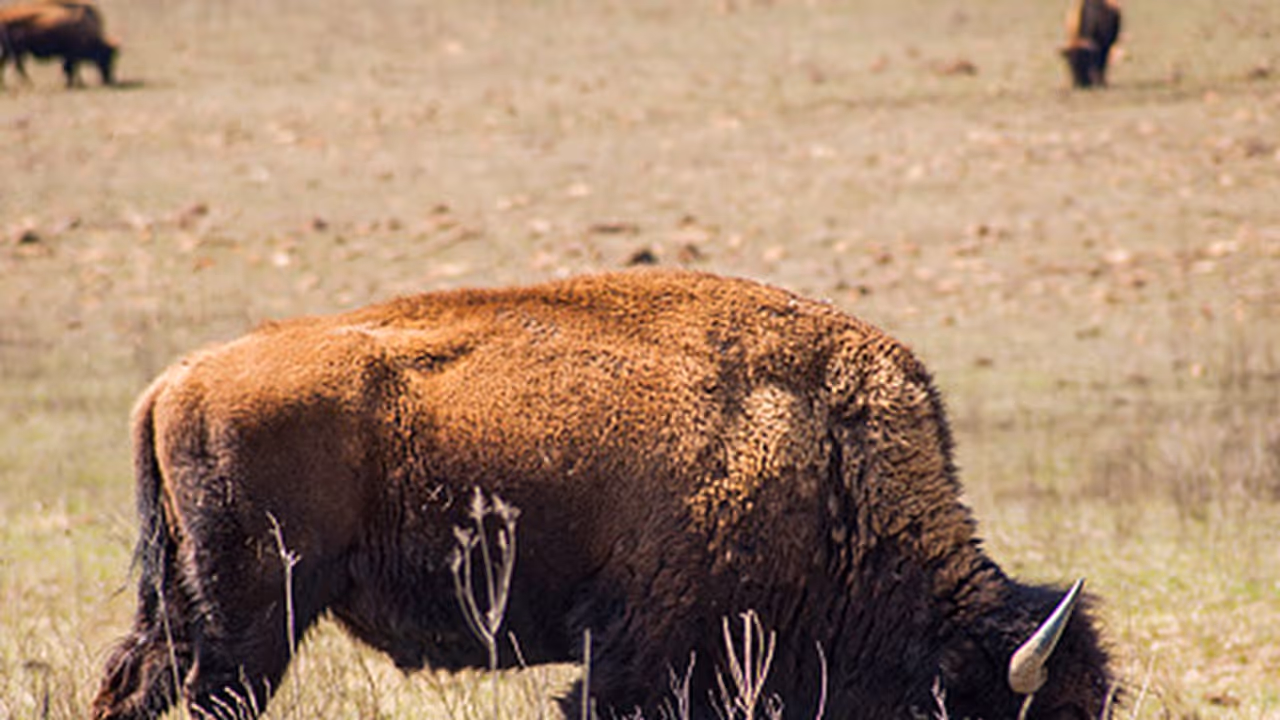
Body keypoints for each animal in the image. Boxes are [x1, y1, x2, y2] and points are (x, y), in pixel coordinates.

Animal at [92, 270, 1113, 720]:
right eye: (1042, 718)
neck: (828, 463)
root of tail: (177, 379)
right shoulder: (642, 659)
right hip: (254, 617)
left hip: (187, 606)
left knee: (135, 684)